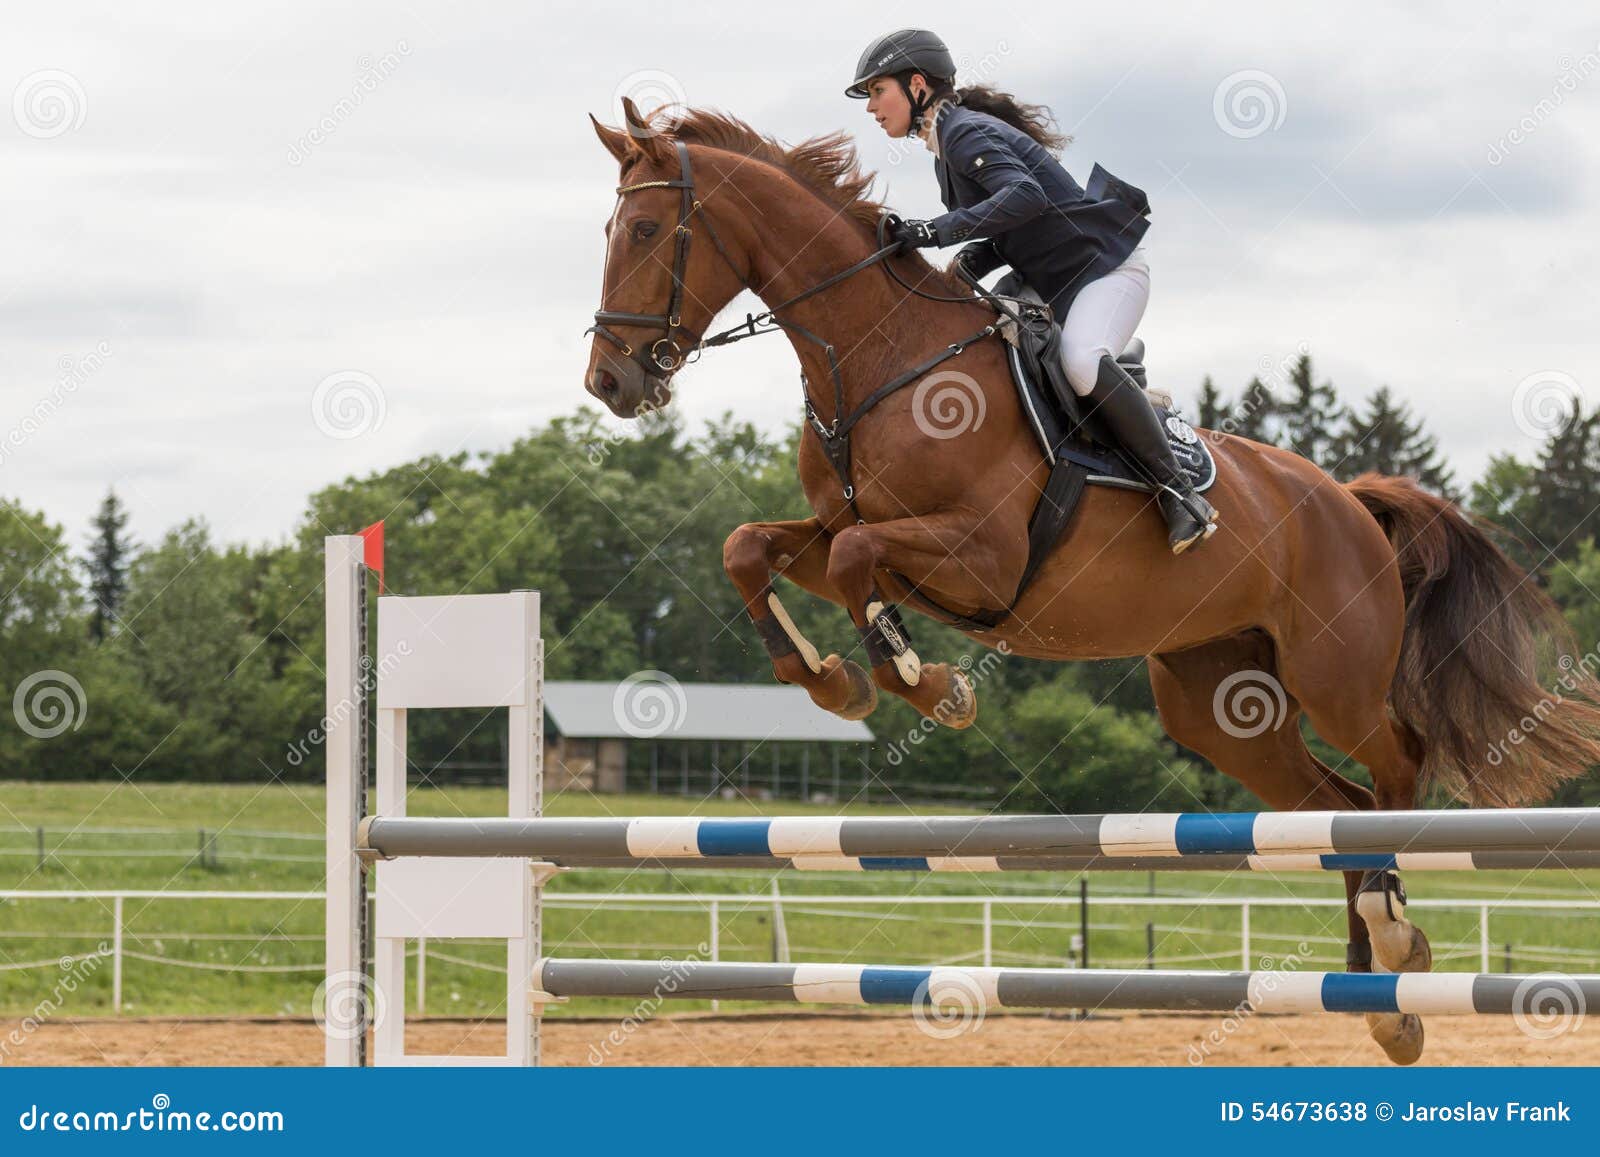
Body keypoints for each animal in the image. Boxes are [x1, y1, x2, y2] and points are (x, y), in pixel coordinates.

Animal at [585, 102, 1600, 1068]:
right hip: (1220, 703)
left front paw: (930, 685)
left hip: (1334, 676)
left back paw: (1394, 935)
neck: (875, 356)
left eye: (645, 230)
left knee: (1396, 764)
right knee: (1335, 811)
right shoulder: (846, 530)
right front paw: (834, 680)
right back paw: (1380, 1000)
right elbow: (752, 548)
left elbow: (852, 562)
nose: (609, 381)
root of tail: (1349, 500)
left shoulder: (982, 553)